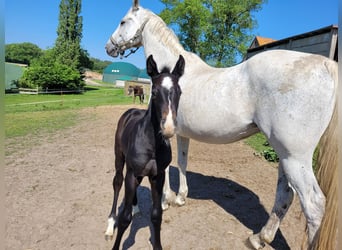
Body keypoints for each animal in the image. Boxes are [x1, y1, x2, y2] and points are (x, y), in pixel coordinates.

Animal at [105, 55, 184, 250]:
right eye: (154, 92)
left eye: (180, 92)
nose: (168, 128)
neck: (152, 145)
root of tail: (131, 111)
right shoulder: (132, 173)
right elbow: (124, 218)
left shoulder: (157, 176)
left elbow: (156, 215)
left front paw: (157, 245)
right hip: (120, 158)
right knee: (117, 183)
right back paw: (110, 225)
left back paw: (135, 207)